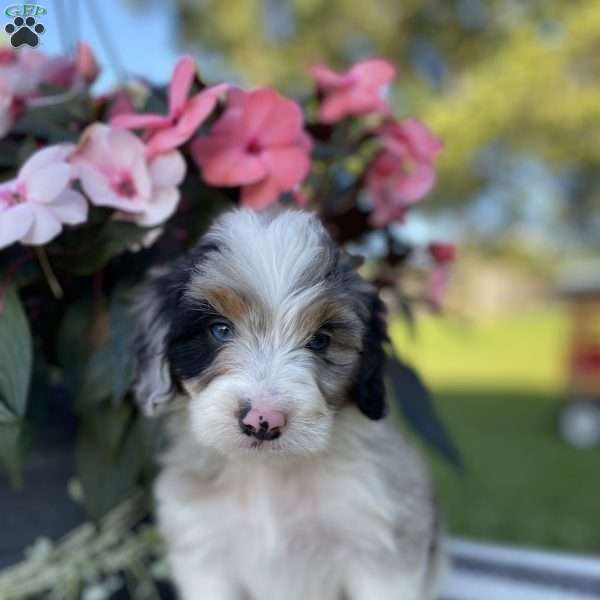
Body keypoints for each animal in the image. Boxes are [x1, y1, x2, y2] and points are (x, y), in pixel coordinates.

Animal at [134, 207, 442, 600]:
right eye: (220, 329)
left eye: (321, 340)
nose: (263, 420)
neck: (270, 473)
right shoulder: (205, 554)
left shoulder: (380, 550)